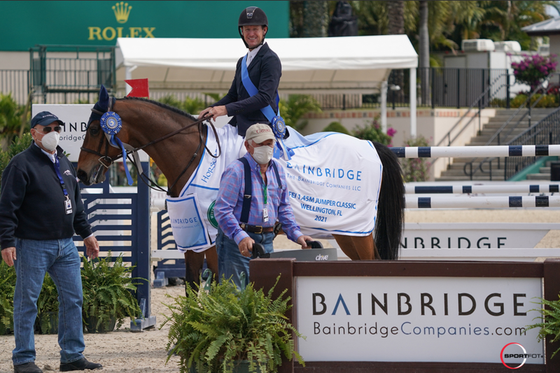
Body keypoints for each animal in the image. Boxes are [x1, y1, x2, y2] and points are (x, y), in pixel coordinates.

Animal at [76, 88, 404, 290]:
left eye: (92, 129)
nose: (81, 173)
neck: (194, 154)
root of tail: (370, 144)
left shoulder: (215, 234)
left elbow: (221, 282)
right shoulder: (193, 235)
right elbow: (193, 284)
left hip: (355, 232)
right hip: (347, 233)